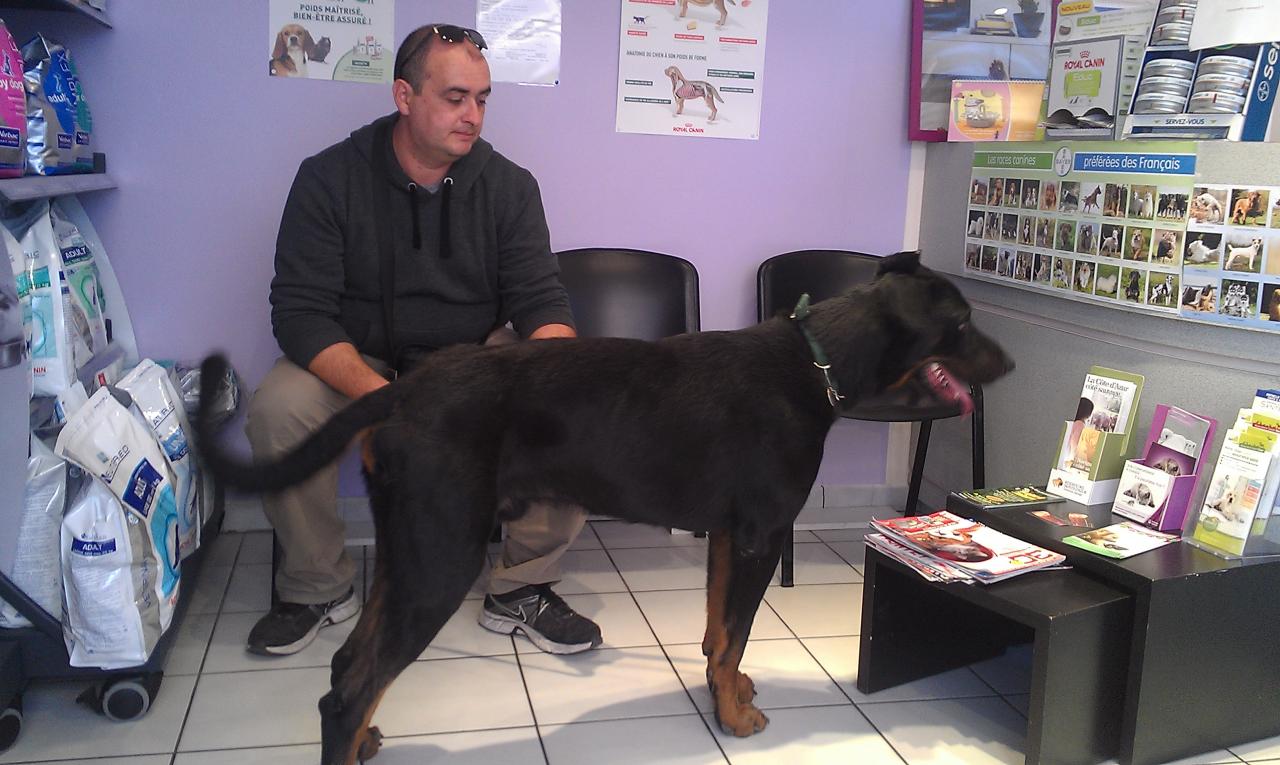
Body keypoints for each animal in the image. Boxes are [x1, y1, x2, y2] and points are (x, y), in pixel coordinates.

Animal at [194, 251, 1013, 765]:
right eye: (961, 323)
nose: (1009, 364)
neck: (816, 365)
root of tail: (403, 391)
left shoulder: (726, 535)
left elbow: (720, 634)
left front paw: (725, 693)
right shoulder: (758, 534)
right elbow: (737, 633)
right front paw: (735, 718)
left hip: (409, 550)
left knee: (348, 667)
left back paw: (364, 737)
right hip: (441, 556)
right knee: (350, 687)